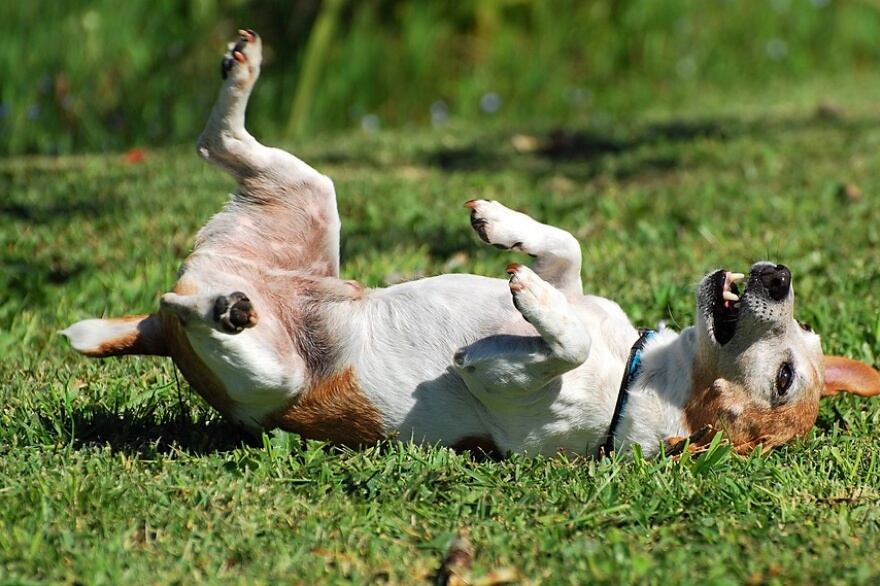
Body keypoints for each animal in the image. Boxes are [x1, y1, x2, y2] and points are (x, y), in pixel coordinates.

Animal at [63, 30, 880, 456]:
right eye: (803, 336)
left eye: (785, 378)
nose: (778, 276)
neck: (645, 367)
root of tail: (157, 325)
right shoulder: (584, 288)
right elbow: (567, 249)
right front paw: (502, 227)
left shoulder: (528, 399)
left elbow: (554, 346)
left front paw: (522, 314)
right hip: (310, 190)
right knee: (217, 141)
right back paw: (242, 69)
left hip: (271, 378)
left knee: (203, 304)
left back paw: (223, 309)